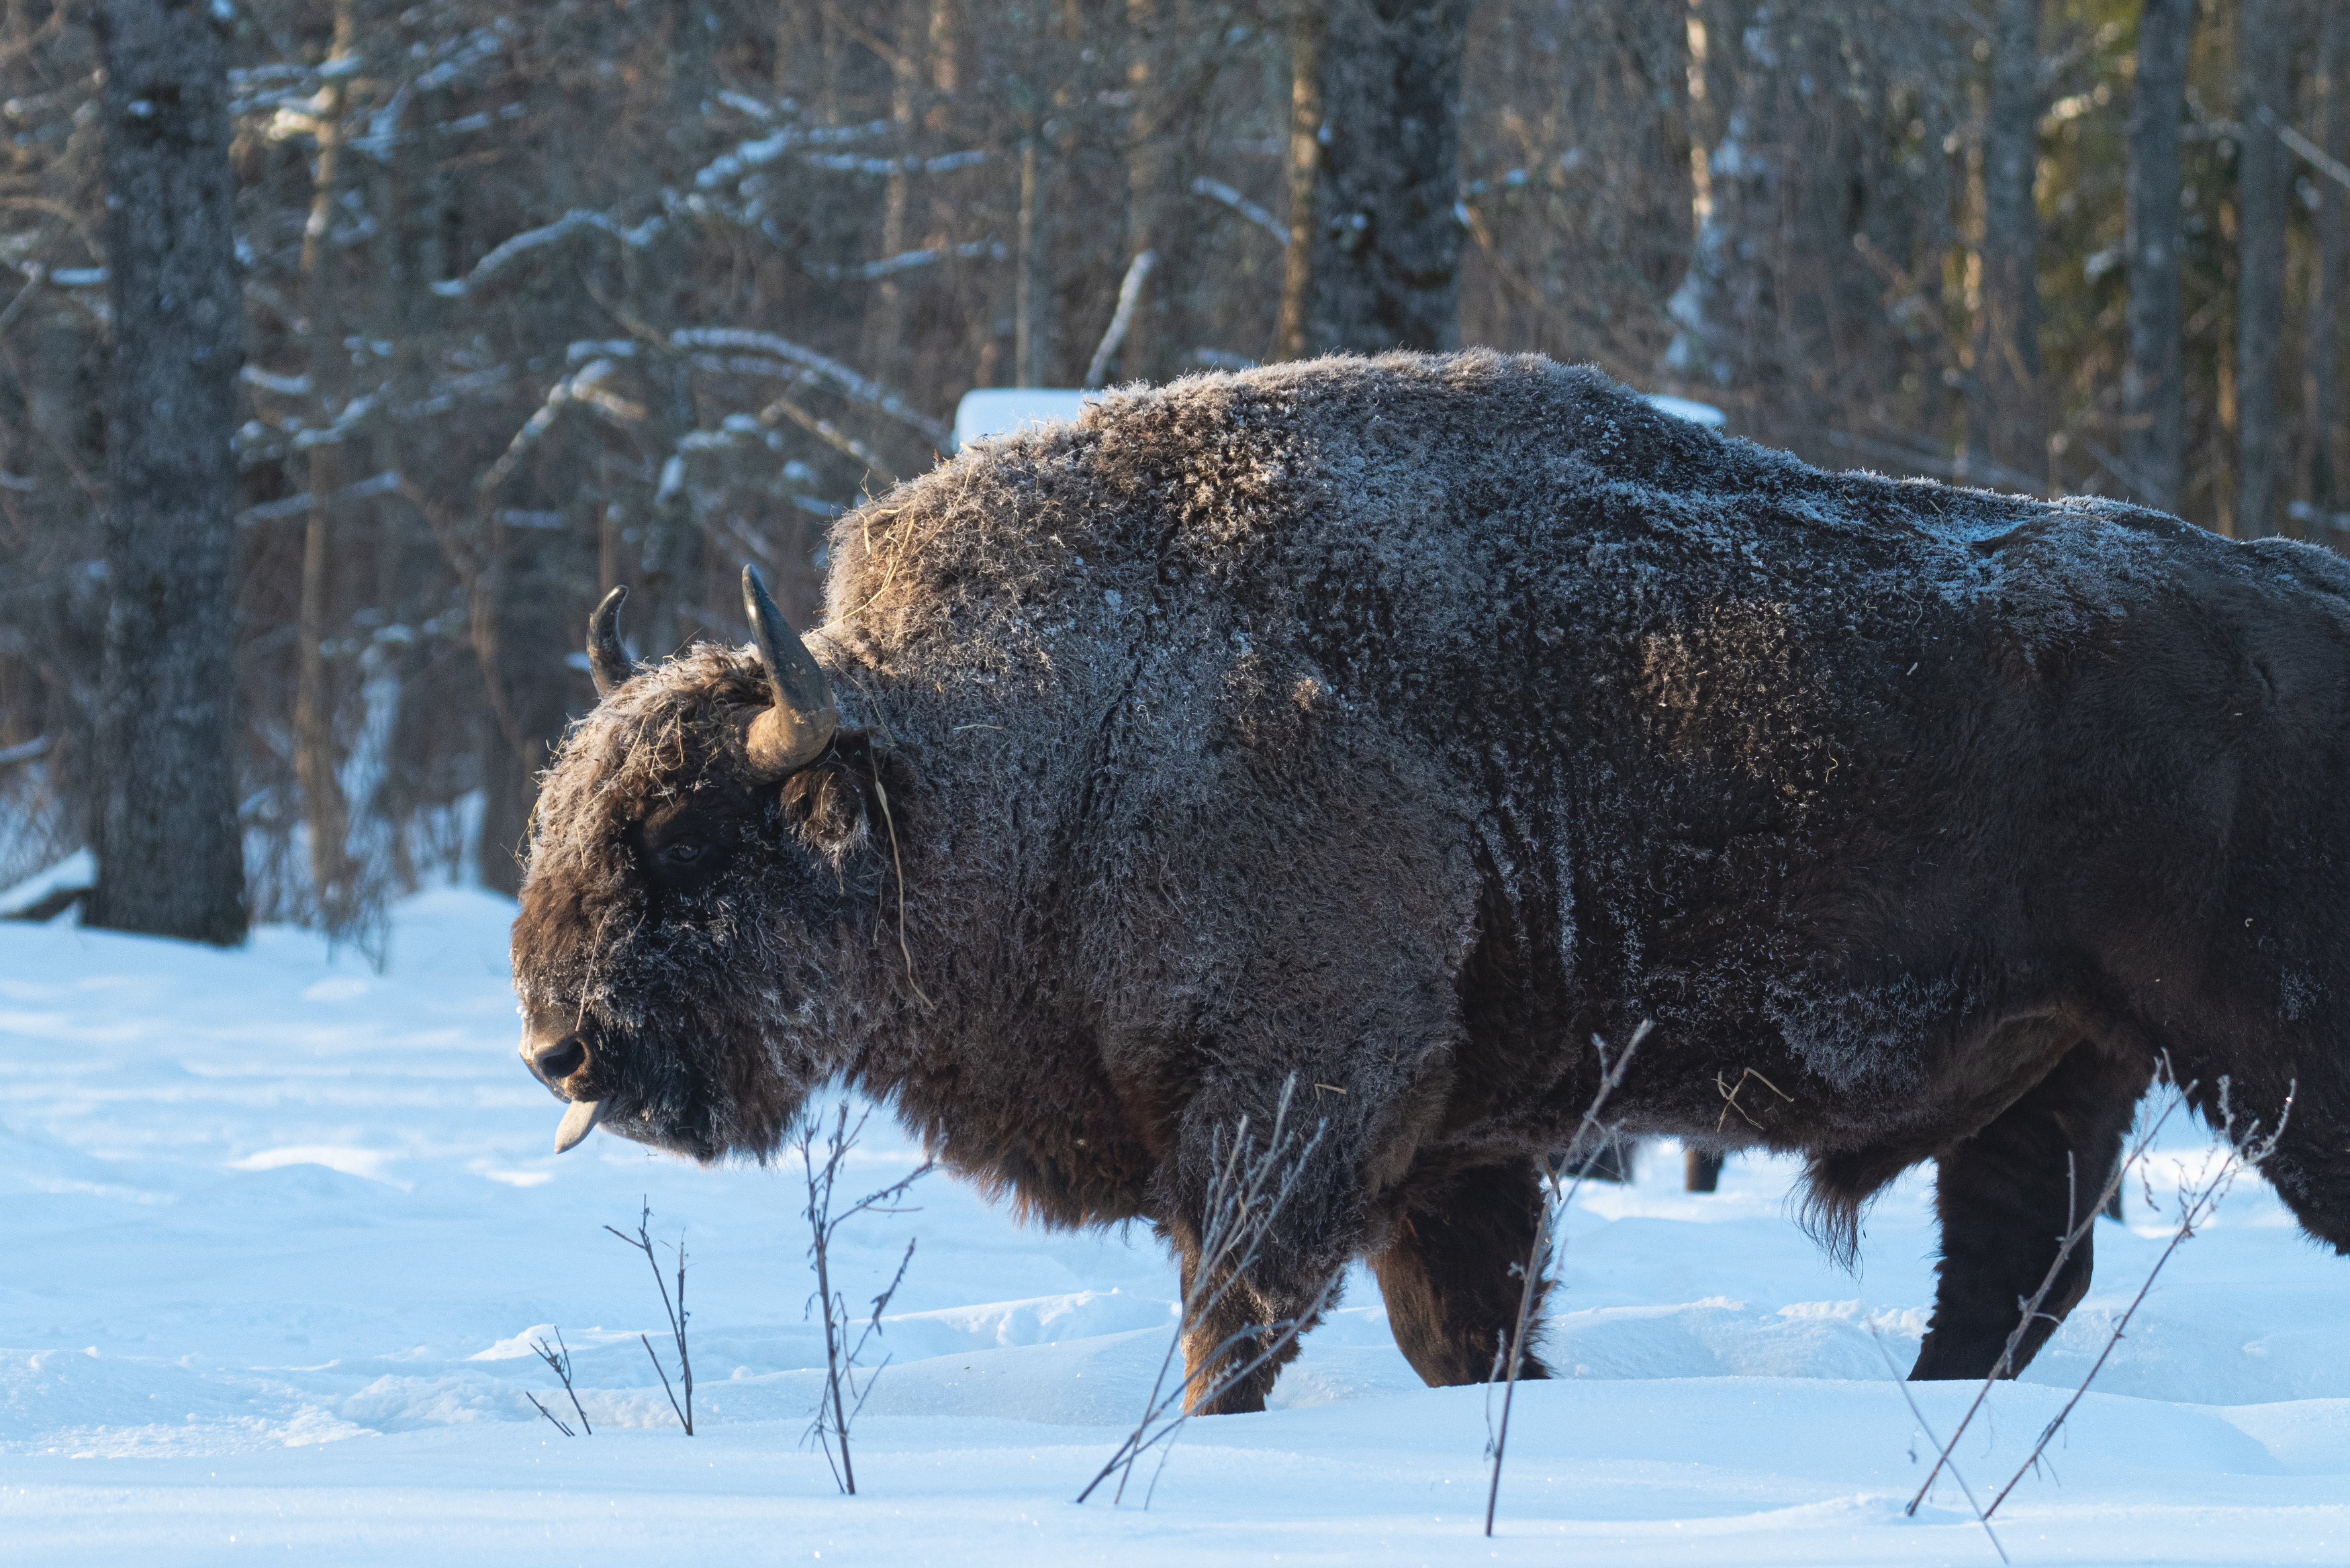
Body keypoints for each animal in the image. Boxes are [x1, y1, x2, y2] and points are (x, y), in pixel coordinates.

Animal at [510, 352, 2331, 1410]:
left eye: (685, 840)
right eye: (564, 824)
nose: (557, 1043)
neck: (1024, 735)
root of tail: (2309, 596)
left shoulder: (1292, 1112)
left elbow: (1234, 1324)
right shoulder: (1453, 1154)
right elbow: (1465, 1329)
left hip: (2271, 1057)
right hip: (2070, 1059)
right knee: (2014, 1268)